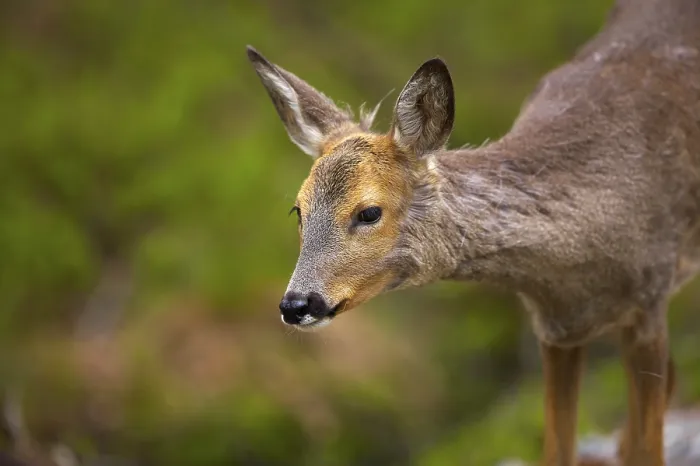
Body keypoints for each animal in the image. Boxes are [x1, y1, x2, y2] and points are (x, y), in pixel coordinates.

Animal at [246, 0, 700, 464]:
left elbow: (646, 449)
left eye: (369, 212)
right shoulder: (558, 328)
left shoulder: (649, 300)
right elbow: (559, 449)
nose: (297, 304)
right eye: (298, 210)